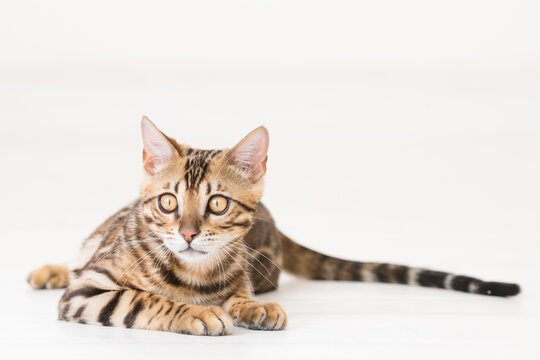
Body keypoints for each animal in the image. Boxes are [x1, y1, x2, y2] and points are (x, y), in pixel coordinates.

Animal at [27, 116, 520, 336]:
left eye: (217, 204)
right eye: (168, 202)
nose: (187, 233)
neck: (192, 275)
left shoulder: (241, 272)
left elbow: (239, 292)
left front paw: (249, 308)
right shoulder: (88, 291)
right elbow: (142, 298)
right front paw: (196, 313)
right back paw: (49, 270)